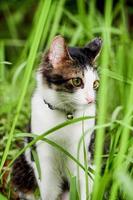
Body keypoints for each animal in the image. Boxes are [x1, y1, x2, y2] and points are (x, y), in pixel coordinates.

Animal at [12, 36, 102, 200]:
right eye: (77, 81)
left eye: (95, 84)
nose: (91, 100)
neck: (66, 114)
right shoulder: (43, 158)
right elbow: (48, 191)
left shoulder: (82, 154)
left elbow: (83, 187)